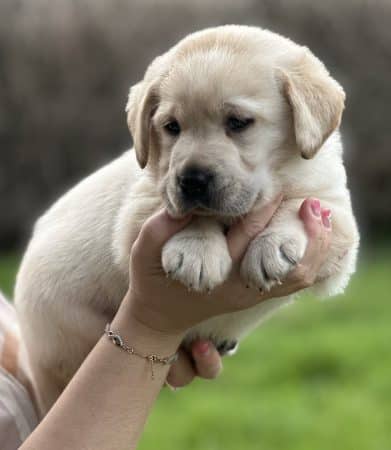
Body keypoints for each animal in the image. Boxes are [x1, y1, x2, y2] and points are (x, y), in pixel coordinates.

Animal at [14, 25, 358, 414]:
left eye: (238, 122)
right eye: (171, 126)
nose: (192, 180)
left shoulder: (337, 218)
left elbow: (299, 204)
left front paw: (274, 245)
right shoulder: (142, 205)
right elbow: (188, 215)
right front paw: (197, 251)